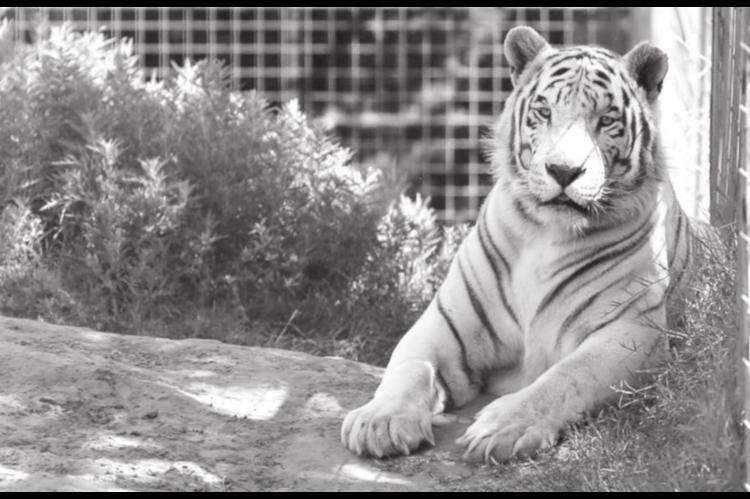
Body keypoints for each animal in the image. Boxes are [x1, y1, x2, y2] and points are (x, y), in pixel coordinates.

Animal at [340, 25, 720, 465]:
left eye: (606, 120)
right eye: (544, 111)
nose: (564, 171)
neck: (547, 232)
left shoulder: (630, 331)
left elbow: (566, 377)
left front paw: (503, 427)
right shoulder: (445, 323)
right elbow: (409, 367)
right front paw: (379, 421)